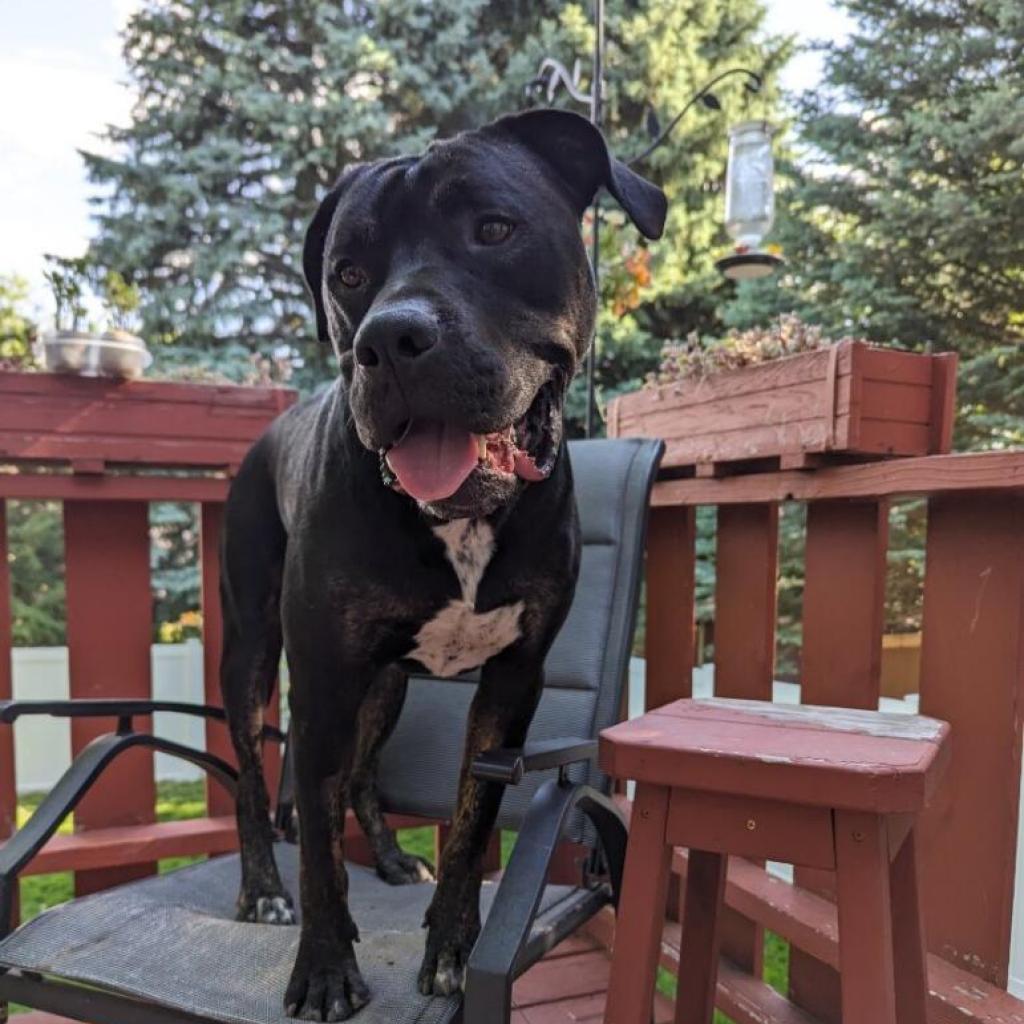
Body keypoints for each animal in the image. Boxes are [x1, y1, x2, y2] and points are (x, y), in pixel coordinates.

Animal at [221, 108, 667, 1019]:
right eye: (349, 273)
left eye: (493, 230)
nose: (391, 339)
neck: (458, 520)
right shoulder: (321, 682)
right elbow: (319, 848)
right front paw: (325, 967)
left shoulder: (513, 682)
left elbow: (470, 823)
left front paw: (454, 946)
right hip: (253, 655)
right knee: (254, 779)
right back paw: (262, 889)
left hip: (387, 688)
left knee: (360, 778)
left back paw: (393, 861)